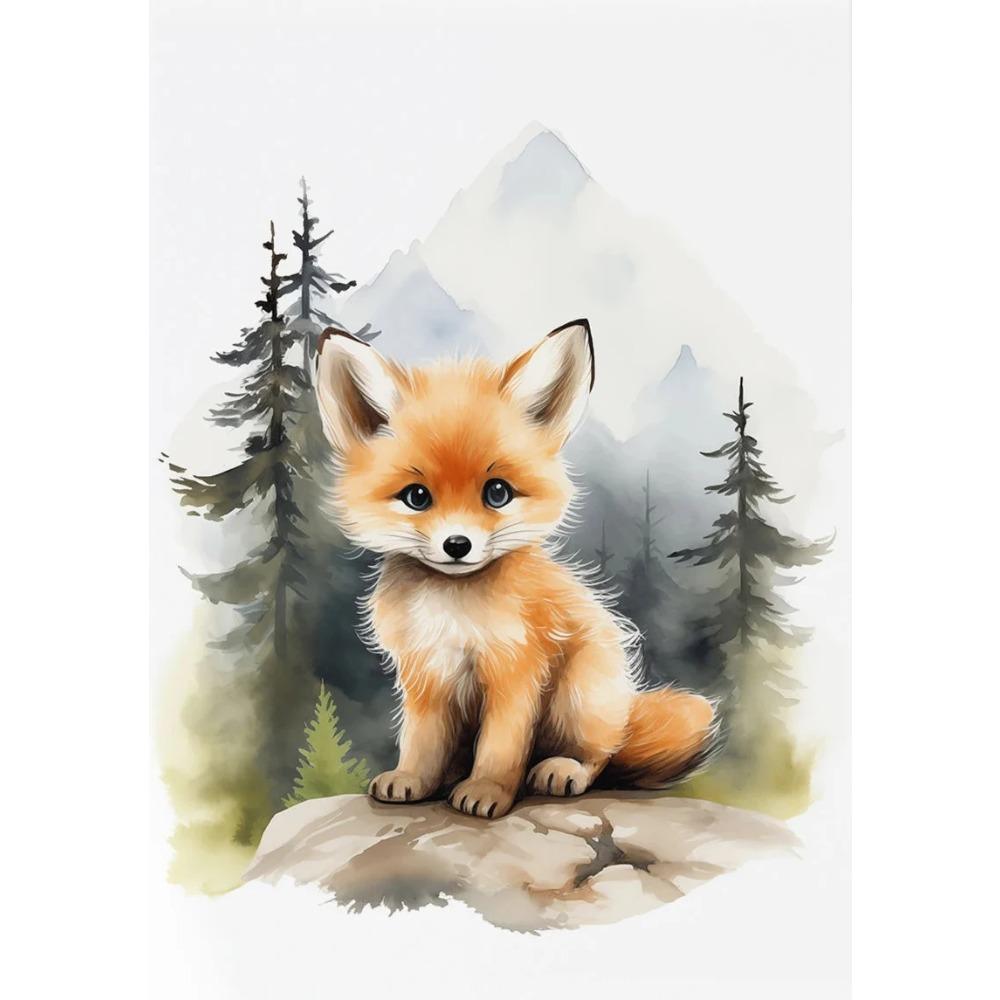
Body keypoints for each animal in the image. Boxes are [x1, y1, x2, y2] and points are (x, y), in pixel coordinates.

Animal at [314, 318, 717, 820]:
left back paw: (561, 769)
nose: (457, 545)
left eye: (497, 492)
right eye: (417, 497)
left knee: (600, 755)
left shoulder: (516, 670)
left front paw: (487, 790)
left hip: (578, 694)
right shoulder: (426, 674)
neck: (454, 609)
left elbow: (500, 747)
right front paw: (413, 779)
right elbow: (421, 743)